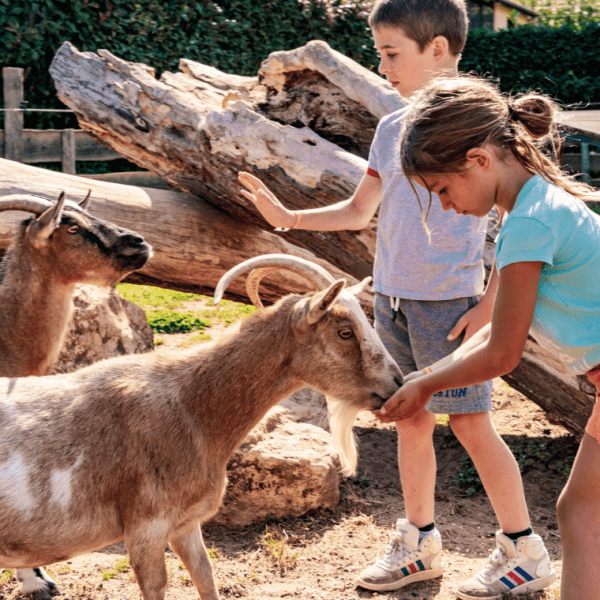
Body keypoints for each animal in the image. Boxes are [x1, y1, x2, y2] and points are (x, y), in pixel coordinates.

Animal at [1, 254, 404, 600]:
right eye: (345, 332)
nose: (396, 384)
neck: (190, 406)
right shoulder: (146, 529)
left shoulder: (185, 525)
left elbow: (206, 578)